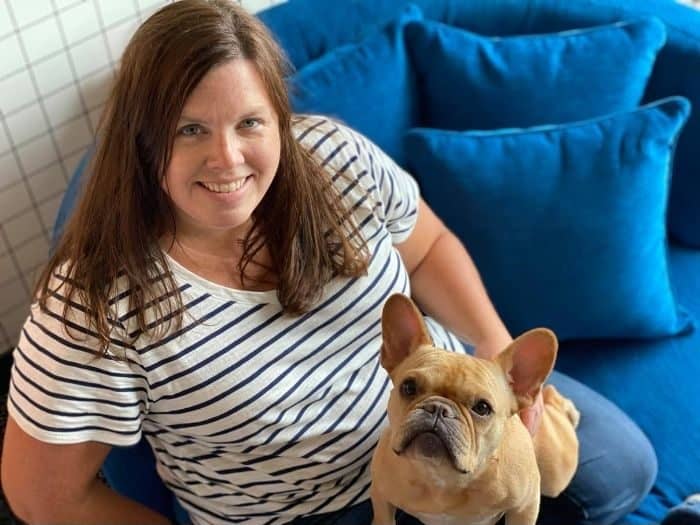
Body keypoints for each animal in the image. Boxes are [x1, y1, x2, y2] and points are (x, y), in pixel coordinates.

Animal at [370, 294, 580, 525]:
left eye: (482, 408)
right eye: (408, 387)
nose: (438, 409)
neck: (441, 477)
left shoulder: (525, 506)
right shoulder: (380, 495)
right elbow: (383, 518)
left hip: (555, 475)